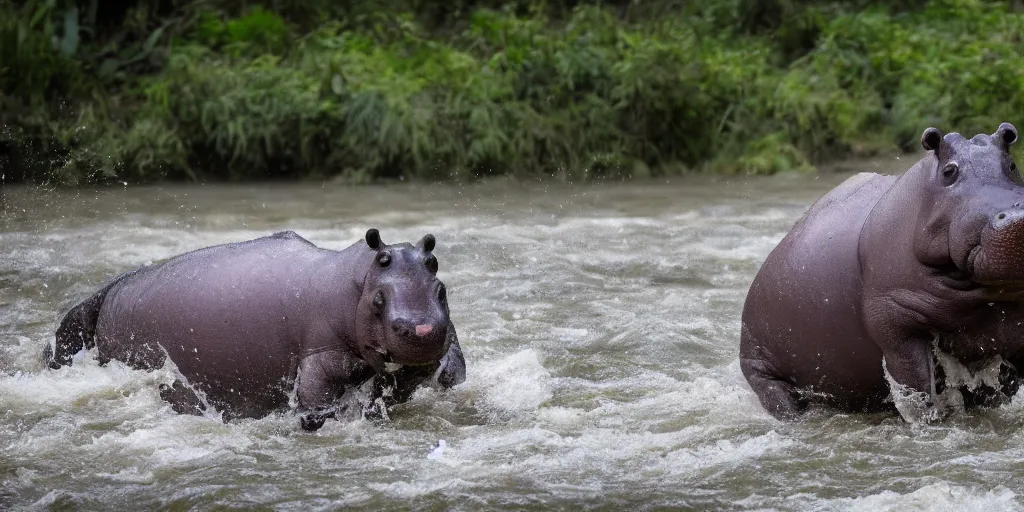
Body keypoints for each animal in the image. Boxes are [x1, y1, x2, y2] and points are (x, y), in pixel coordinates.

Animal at [44, 230, 468, 430]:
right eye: (378, 298)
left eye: (441, 286)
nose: (422, 328)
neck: (353, 281)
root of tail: (111, 288)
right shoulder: (319, 359)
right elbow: (317, 404)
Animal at [745, 121, 1024, 421]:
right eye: (949, 171)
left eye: (1012, 164)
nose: (1017, 216)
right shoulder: (896, 324)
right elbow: (917, 390)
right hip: (760, 370)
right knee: (778, 397)